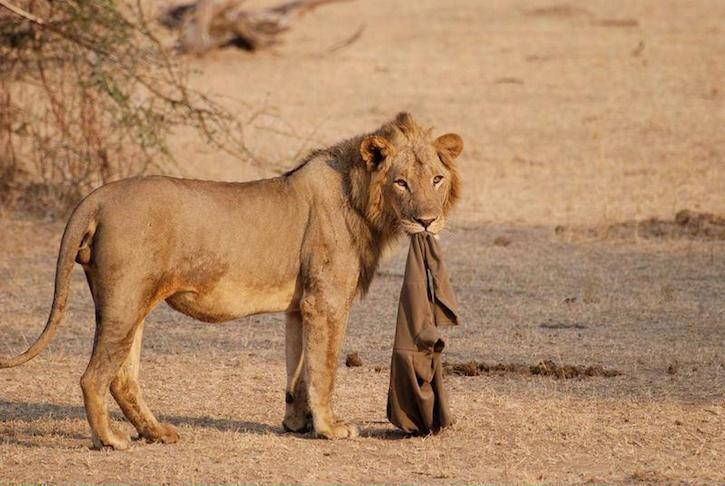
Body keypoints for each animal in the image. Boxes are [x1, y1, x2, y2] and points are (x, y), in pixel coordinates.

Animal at [0, 112, 464, 450]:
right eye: (401, 182)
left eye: (437, 179)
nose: (427, 220)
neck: (361, 199)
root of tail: (98, 195)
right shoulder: (326, 301)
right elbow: (324, 367)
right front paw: (331, 429)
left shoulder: (300, 306)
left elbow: (298, 370)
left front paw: (297, 423)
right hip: (125, 299)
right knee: (94, 377)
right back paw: (111, 440)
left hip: (129, 303)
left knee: (122, 377)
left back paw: (157, 433)